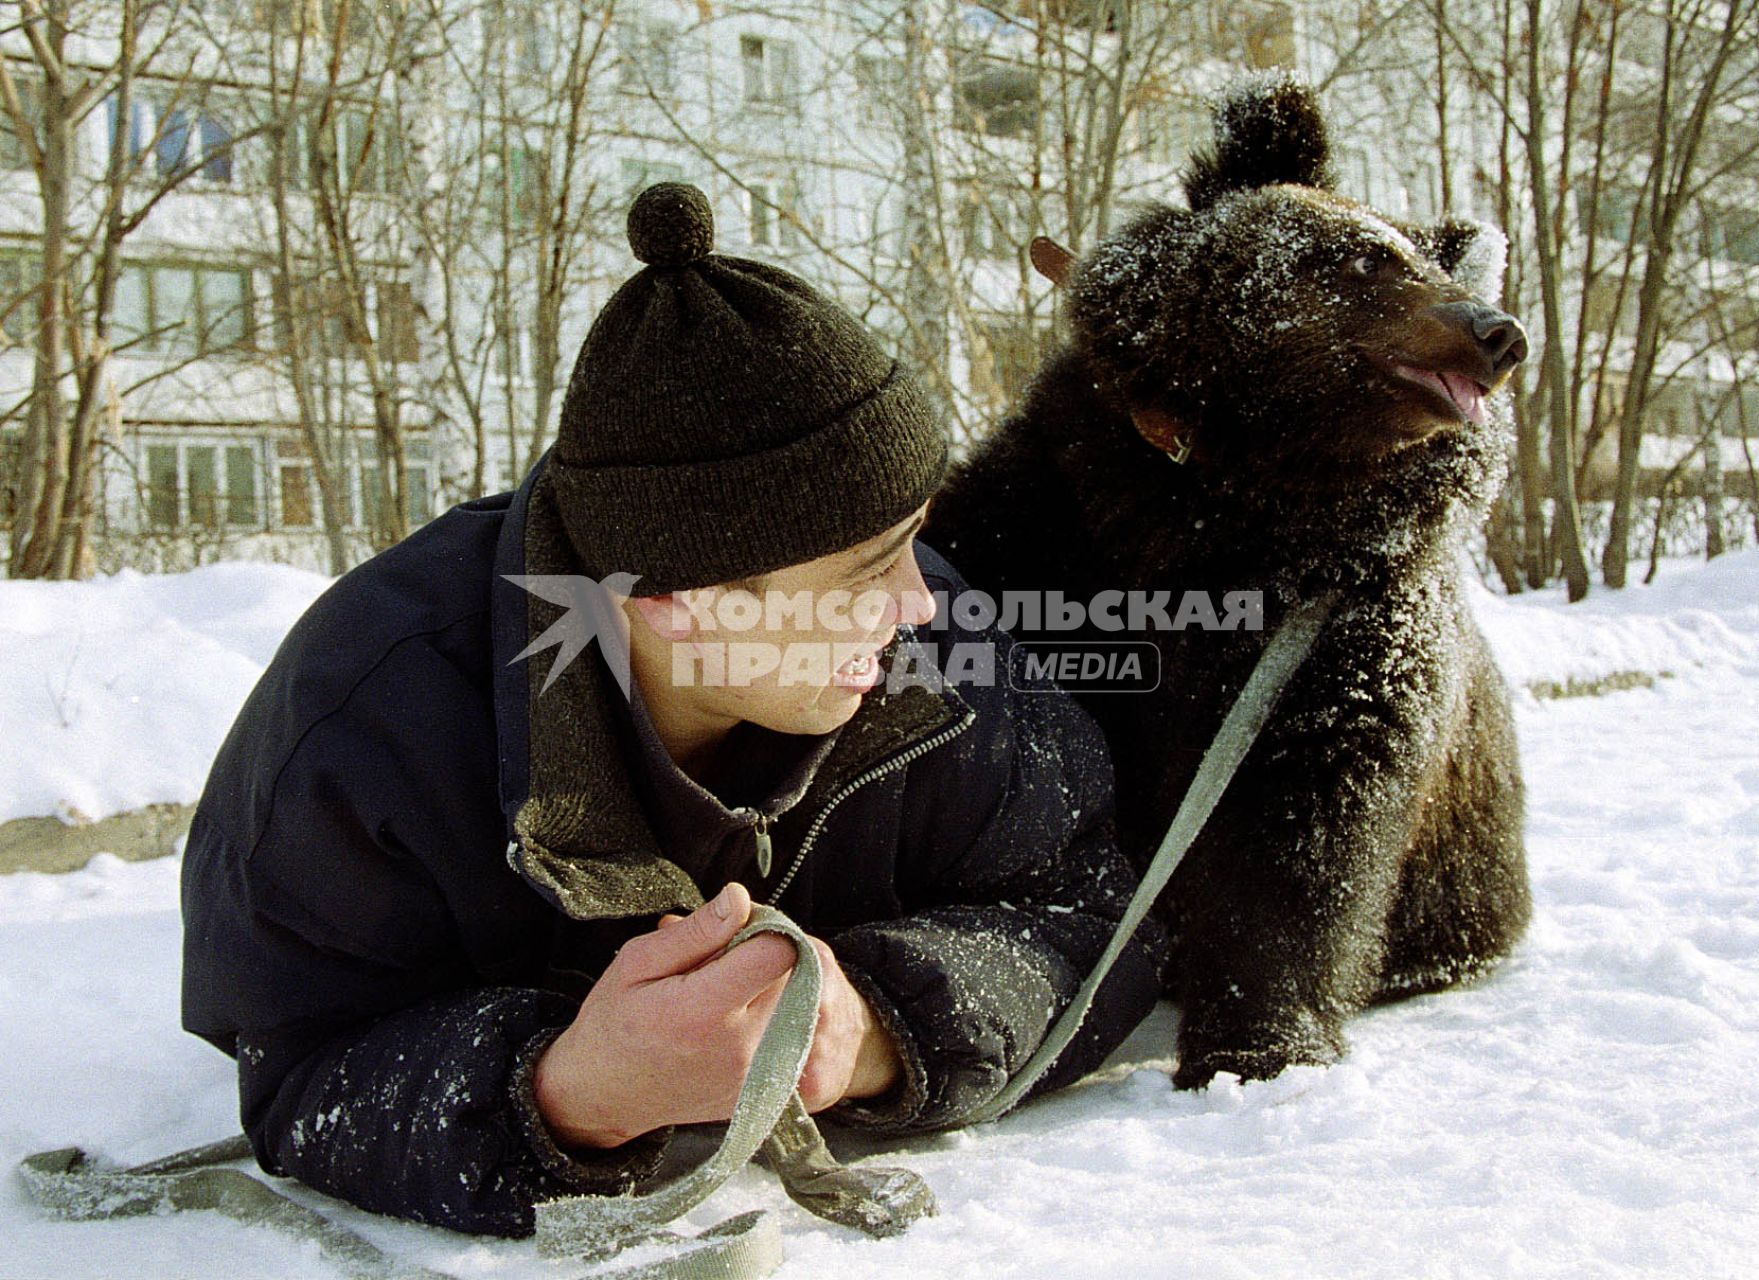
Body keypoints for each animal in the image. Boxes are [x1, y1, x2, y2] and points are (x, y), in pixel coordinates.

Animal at [928, 72, 1533, 1090]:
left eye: (1429, 261)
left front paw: (1255, 1042)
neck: (1241, 494)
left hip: (1464, 869)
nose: (1497, 333)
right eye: (1367, 256)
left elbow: (1294, 840)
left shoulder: (1334, 634)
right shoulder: (1068, 510)